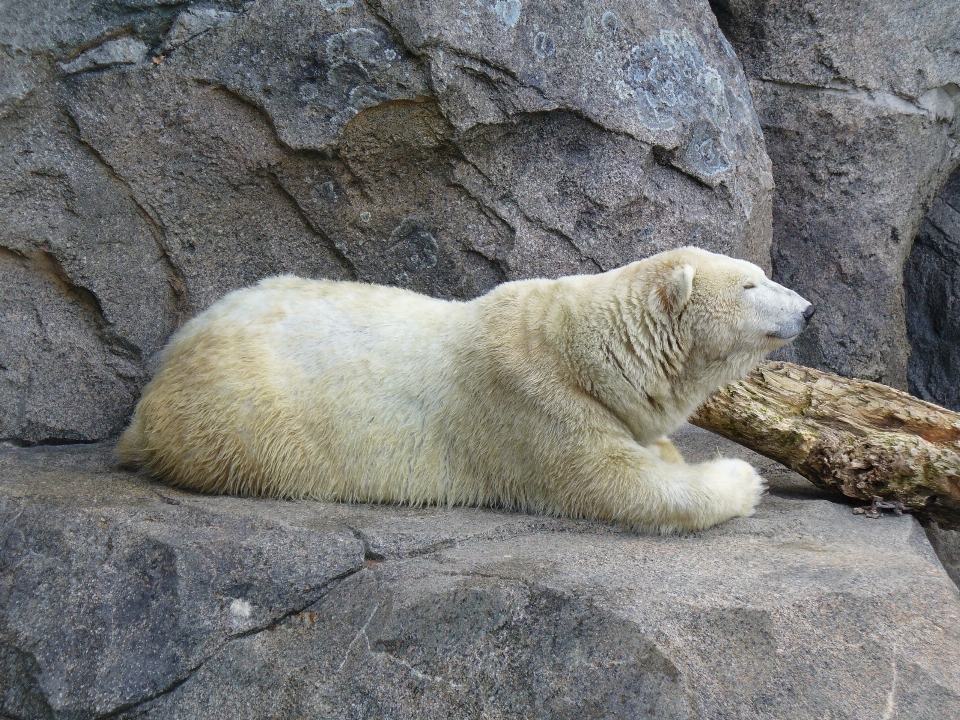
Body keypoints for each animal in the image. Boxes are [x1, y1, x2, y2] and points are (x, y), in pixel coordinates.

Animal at [116, 248, 812, 536]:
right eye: (751, 284)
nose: (807, 308)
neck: (574, 344)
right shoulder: (533, 406)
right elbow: (619, 484)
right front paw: (741, 479)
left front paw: (666, 447)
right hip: (241, 420)